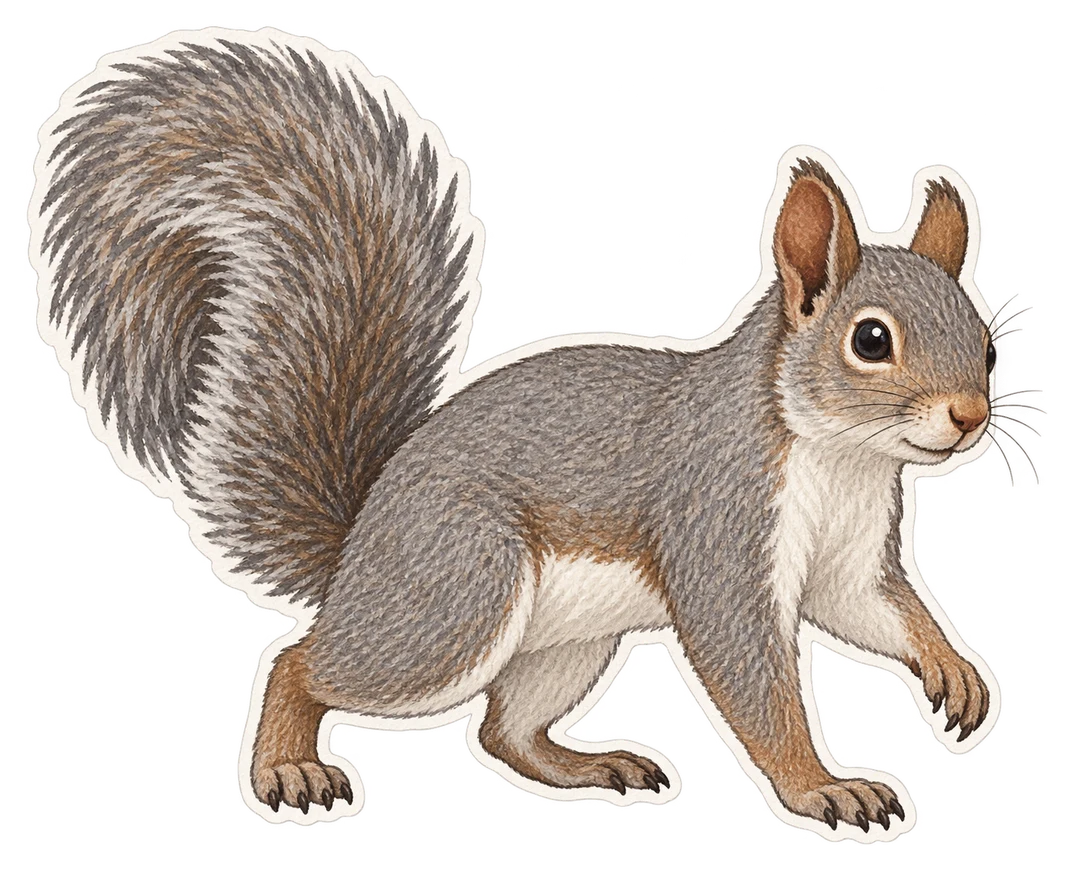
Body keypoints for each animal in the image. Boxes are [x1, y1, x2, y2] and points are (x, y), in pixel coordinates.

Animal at [32, 30, 1000, 835]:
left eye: (989, 343)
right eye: (870, 340)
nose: (970, 417)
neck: (840, 457)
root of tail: (358, 547)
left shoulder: (849, 557)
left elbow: (877, 609)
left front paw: (953, 671)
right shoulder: (719, 524)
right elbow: (755, 681)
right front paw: (821, 787)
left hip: (563, 642)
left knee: (504, 732)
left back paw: (590, 767)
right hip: (456, 594)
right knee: (306, 662)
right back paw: (287, 766)